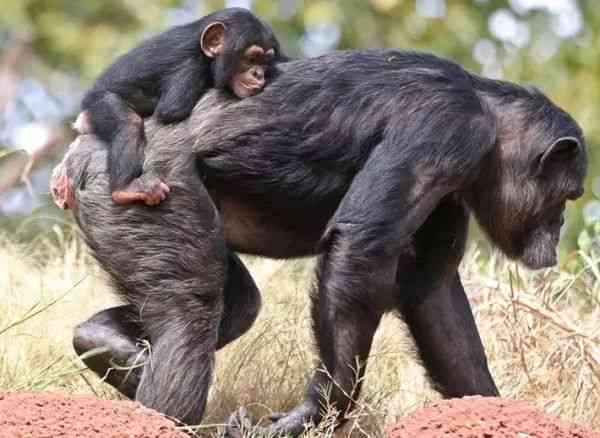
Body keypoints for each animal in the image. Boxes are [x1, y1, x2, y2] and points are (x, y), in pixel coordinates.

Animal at [51, 49, 584, 432]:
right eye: (568, 196)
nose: (558, 228)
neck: (489, 118)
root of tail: (80, 152)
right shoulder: (445, 129)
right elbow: (362, 246)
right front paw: (314, 412)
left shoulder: (451, 193)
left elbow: (432, 293)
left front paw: (495, 411)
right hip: (148, 190)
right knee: (191, 312)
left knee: (236, 304)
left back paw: (105, 343)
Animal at [71, 8, 282, 207]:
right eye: (251, 58)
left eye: (265, 61)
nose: (258, 74)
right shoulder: (189, 68)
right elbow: (171, 110)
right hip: (98, 102)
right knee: (128, 123)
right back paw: (126, 188)